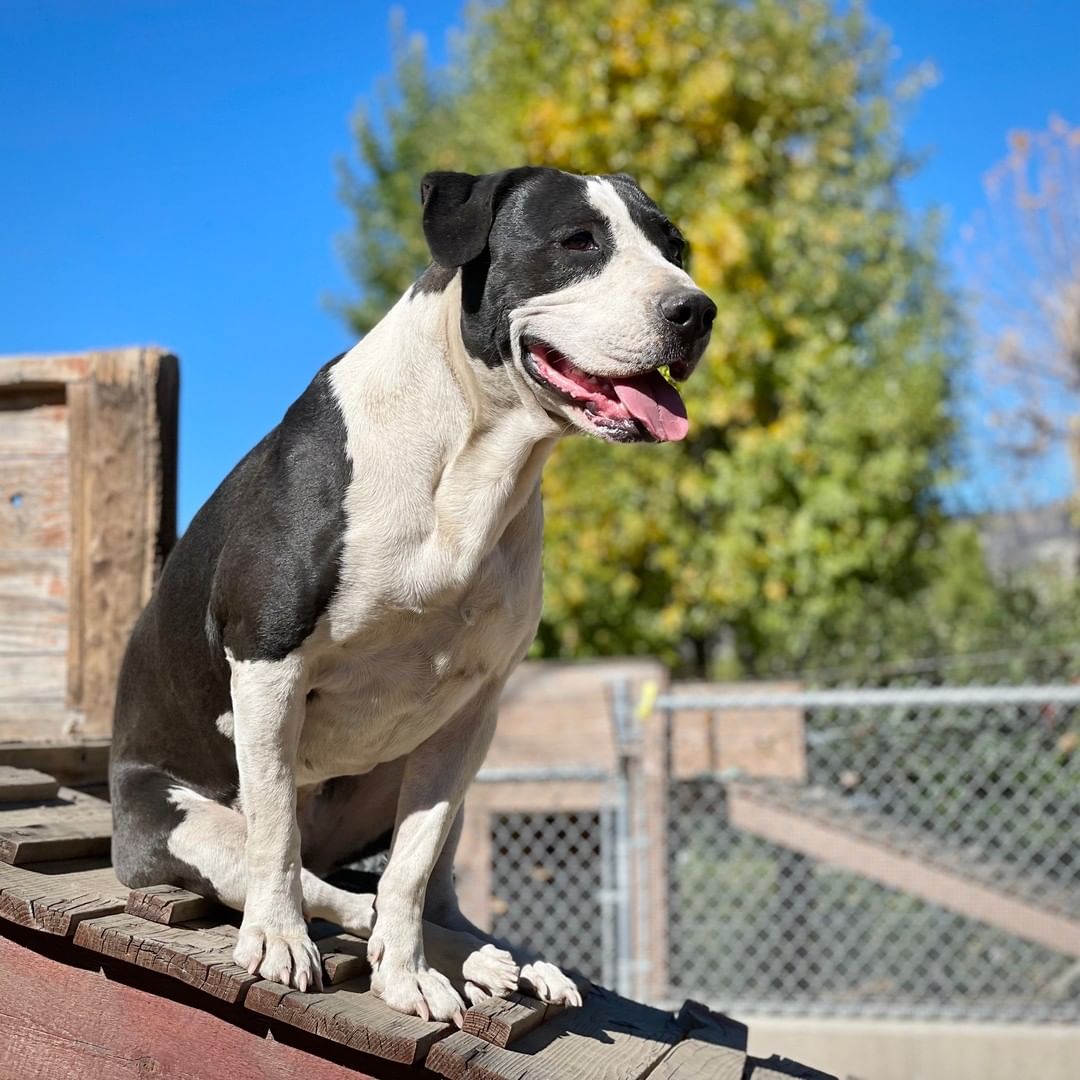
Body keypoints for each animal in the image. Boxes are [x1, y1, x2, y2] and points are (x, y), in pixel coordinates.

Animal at [111, 166, 717, 1019]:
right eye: (577, 242)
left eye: (674, 248)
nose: (696, 310)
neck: (469, 457)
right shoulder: (267, 663)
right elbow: (279, 836)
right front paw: (280, 942)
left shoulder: (468, 712)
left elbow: (410, 865)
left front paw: (406, 975)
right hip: (178, 826)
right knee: (318, 879)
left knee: (416, 890)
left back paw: (504, 959)